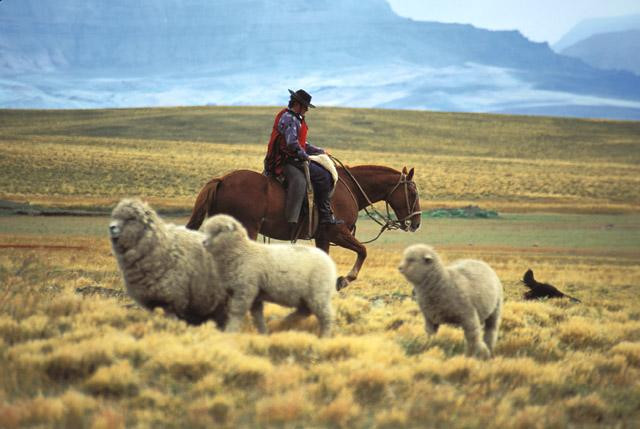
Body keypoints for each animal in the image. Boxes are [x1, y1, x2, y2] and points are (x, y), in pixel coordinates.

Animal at [188, 164, 422, 288]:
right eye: (412, 192)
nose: (417, 222)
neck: (350, 190)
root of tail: (222, 180)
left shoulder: (323, 237)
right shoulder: (337, 232)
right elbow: (363, 250)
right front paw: (345, 280)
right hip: (247, 231)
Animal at [202, 212, 338, 336]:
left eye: (218, 231)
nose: (204, 242)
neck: (242, 251)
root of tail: (329, 261)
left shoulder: (245, 289)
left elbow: (237, 312)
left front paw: (229, 332)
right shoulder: (255, 294)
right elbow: (257, 317)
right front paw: (263, 333)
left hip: (319, 293)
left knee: (326, 316)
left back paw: (324, 336)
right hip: (306, 296)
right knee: (305, 311)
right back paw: (284, 321)